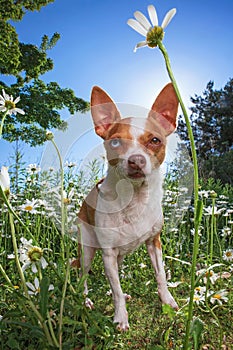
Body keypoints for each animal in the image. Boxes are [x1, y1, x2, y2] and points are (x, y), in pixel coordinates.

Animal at [77, 82, 179, 330]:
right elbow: (115, 289)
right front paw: (121, 317)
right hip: (87, 251)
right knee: (82, 278)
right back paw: (85, 301)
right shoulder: (108, 254)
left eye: (155, 140)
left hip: (119, 255)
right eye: (115, 142)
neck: (134, 198)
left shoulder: (154, 243)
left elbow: (160, 276)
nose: (136, 160)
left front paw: (167, 301)